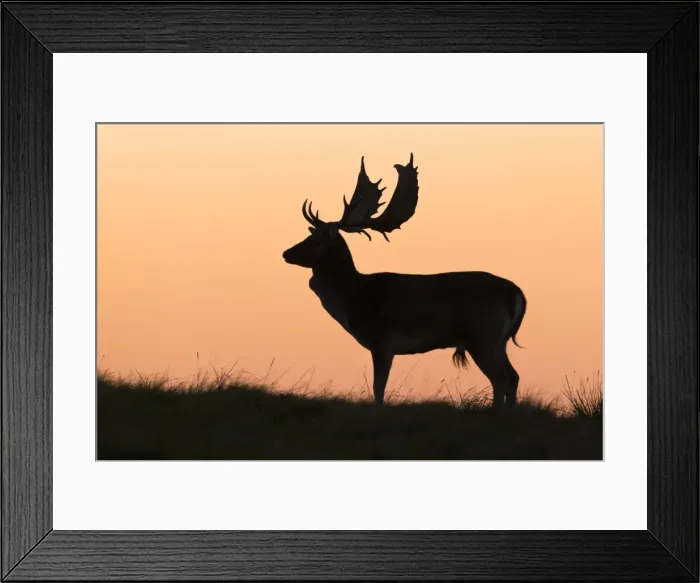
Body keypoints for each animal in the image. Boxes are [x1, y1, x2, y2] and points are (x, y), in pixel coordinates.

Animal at [282, 154, 527, 409]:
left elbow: (378, 387)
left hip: (482, 335)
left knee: (501, 379)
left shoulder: (381, 341)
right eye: (309, 235)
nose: (286, 253)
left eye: (317, 240)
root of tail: (517, 294)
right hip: (498, 341)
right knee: (514, 376)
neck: (354, 298)